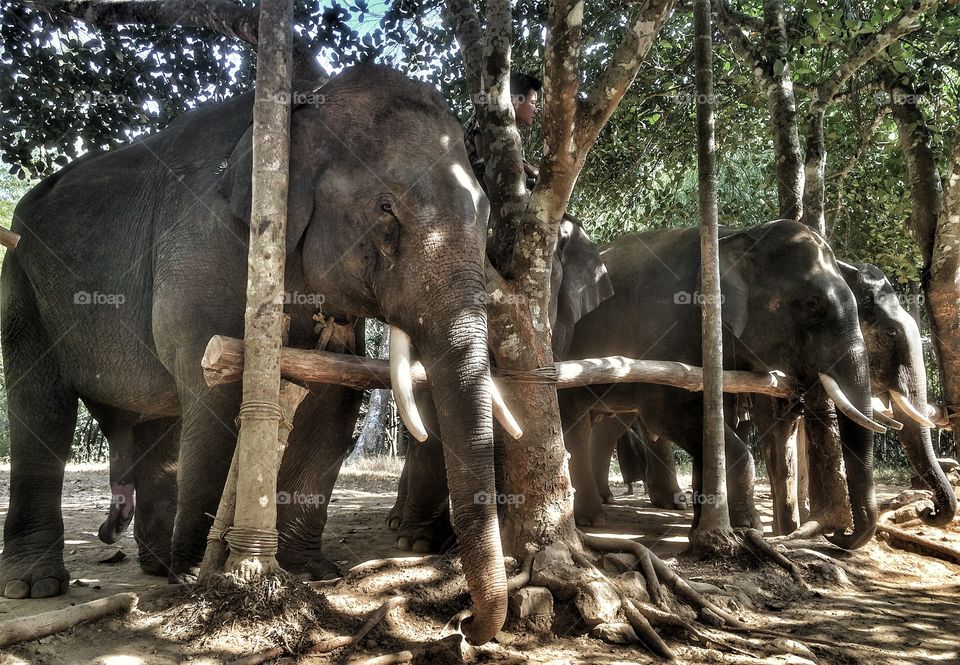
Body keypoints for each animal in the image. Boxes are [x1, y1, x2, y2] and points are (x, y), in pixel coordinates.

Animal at [1, 64, 509, 643]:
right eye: (386, 209)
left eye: (487, 213)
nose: (466, 625)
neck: (302, 103)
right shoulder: (201, 253)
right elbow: (218, 396)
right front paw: (200, 575)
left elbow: (332, 403)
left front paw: (308, 571)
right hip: (21, 282)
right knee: (41, 409)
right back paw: (36, 586)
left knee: (157, 425)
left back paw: (156, 563)